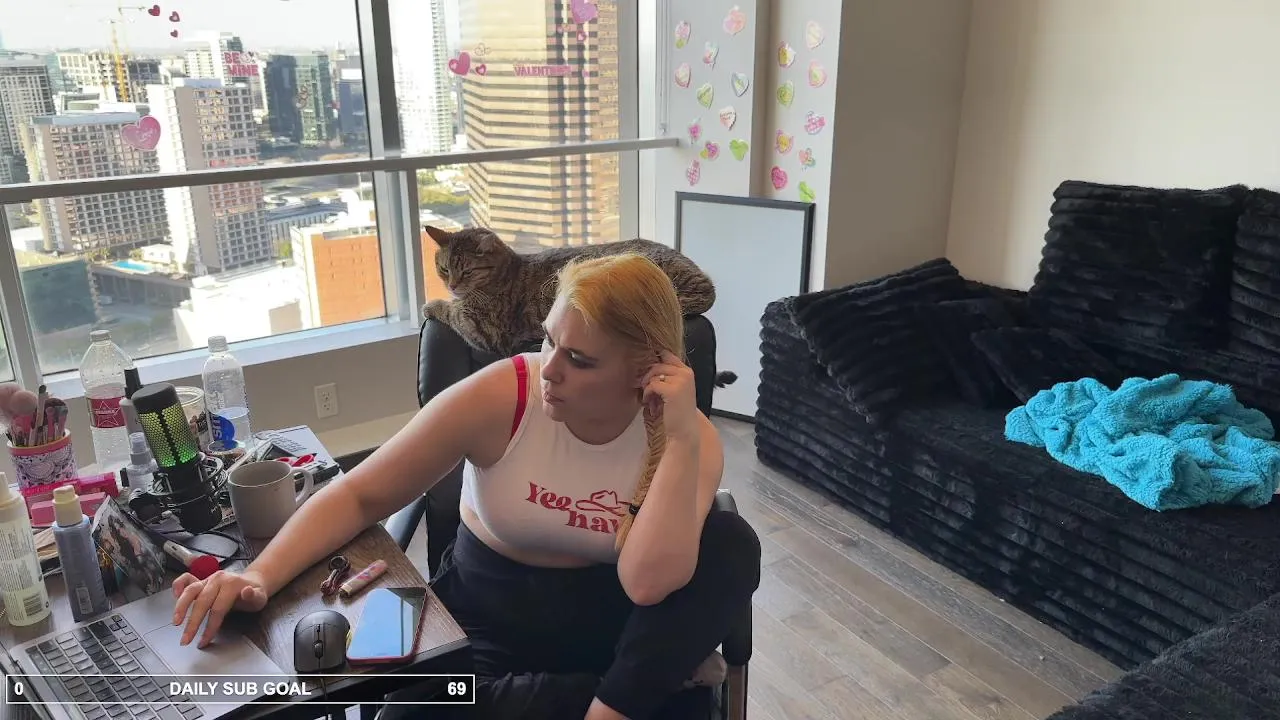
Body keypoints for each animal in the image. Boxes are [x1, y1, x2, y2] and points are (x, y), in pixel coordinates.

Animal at [422, 225, 717, 356]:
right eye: (444, 269)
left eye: (467, 272)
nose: (452, 285)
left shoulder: (486, 330)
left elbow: (452, 311)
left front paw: (432, 305)